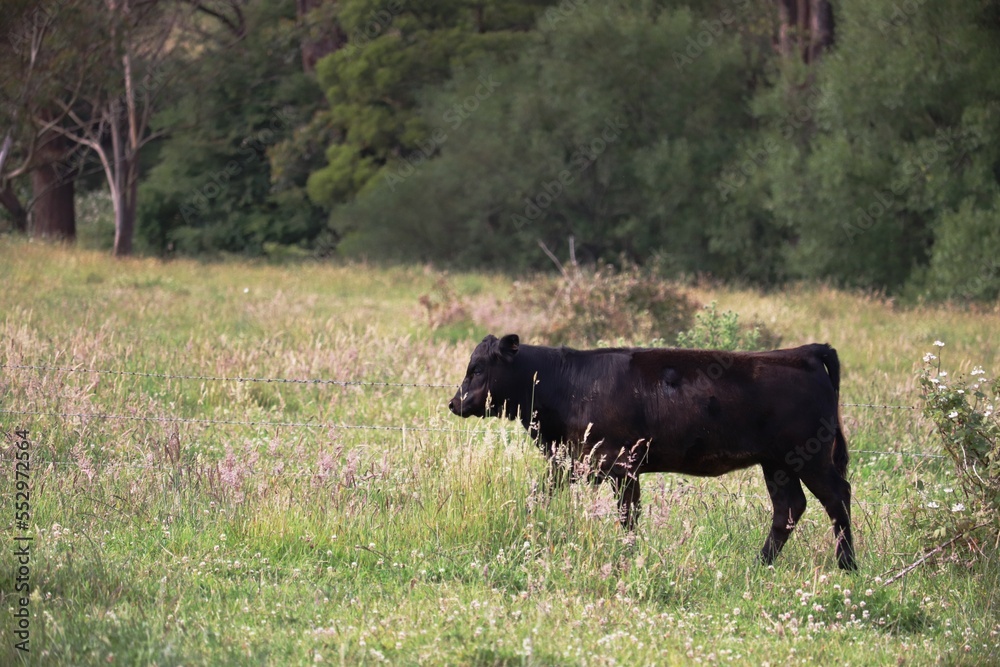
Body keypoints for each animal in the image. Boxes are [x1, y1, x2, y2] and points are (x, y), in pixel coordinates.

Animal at [448, 334, 856, 570]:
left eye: (478, 368)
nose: (454, 402)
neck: (566, 381)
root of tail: (804, 352)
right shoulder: (570, 462)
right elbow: (540, 496)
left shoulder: (622, 465)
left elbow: (628, 517)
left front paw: (627, 556)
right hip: (777, 464)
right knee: (788, 508)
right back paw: (760, 564)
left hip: (810, 457)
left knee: (837, 497)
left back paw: (847, 565)